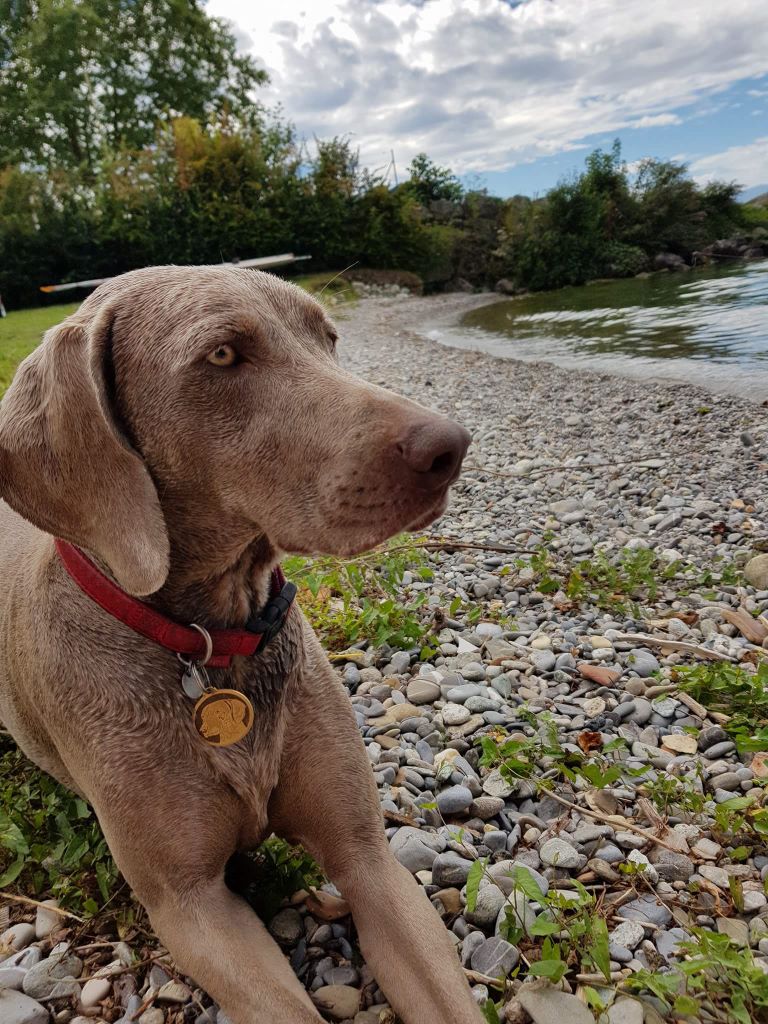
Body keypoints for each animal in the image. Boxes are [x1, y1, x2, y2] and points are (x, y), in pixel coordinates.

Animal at [0, 268, 483, 1019]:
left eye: (328, 337)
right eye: (223, 354)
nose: (449, 447)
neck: (211, 642)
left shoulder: (369, 860)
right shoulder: (190, 905)